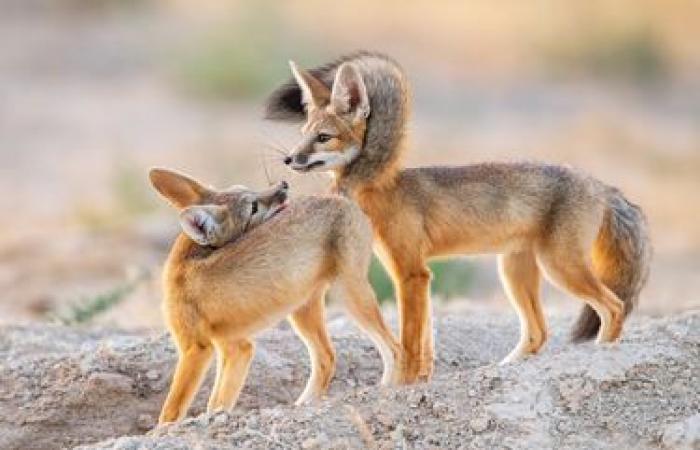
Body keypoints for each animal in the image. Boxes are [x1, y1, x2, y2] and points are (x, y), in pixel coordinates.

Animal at [150, 167, 404, 424]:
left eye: (248, 191)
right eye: (253, 207)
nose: (283, 185)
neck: (186, 261)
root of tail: (336, 196)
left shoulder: (196, 348)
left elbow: (170, 412)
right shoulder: (235, 346)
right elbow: (218, 403)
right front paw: (215, 418)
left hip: (348, 295)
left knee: (395, 348)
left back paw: (389, 390)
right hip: (303, 312)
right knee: (328, 358)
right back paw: (303, 405)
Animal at [266, 52, 652, 382]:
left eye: (323, 137)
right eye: (302, 136)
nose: (289, 159)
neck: (380, 187)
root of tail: (599, 184)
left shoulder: (411, 273)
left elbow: (409, 344)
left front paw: (400, 387)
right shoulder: (418, 274)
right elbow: (425, 345)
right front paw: (421, 381)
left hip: (560, 267)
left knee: (614, 307)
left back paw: (601, 356)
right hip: (514, 272)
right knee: (539, 332)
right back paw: (500, 369)